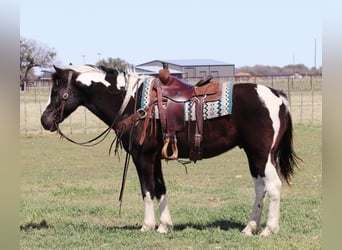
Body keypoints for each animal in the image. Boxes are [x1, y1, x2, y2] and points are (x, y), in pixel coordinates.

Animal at [40, 64, 300, 236]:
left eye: (57, 92)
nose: (45, 120)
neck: (131, 102)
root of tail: (276, 95)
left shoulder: (142, 157)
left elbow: (147, 190)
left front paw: (147, 225)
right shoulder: (155, 158)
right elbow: (161, 189)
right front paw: (164, 225)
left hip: (262, 155)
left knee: (273, 187)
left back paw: (269, 229)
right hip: (253, 155)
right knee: (260, 188)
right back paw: (249, 227)